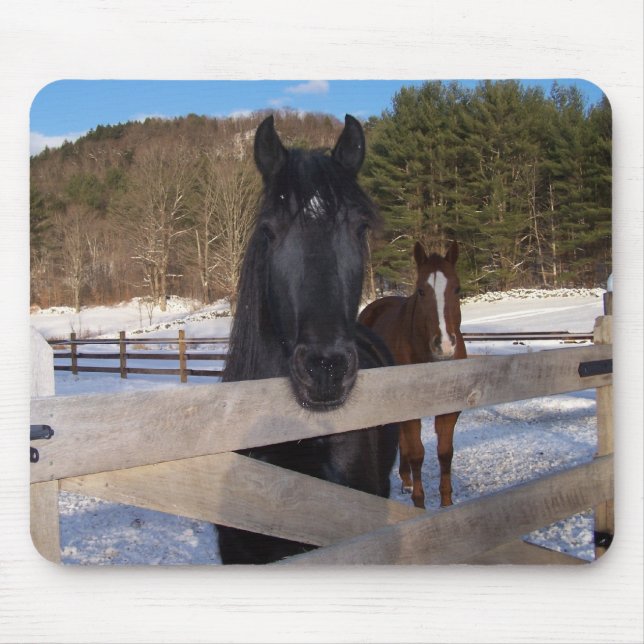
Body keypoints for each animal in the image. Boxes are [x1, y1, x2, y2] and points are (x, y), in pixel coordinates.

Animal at [358, 240, 466, 509]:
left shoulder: (449, 410)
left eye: (457, 289)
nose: (444, 345)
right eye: (421, 291)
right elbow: (418, 454)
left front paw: (446, 503)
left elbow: (445, 454)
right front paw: (420, 503)